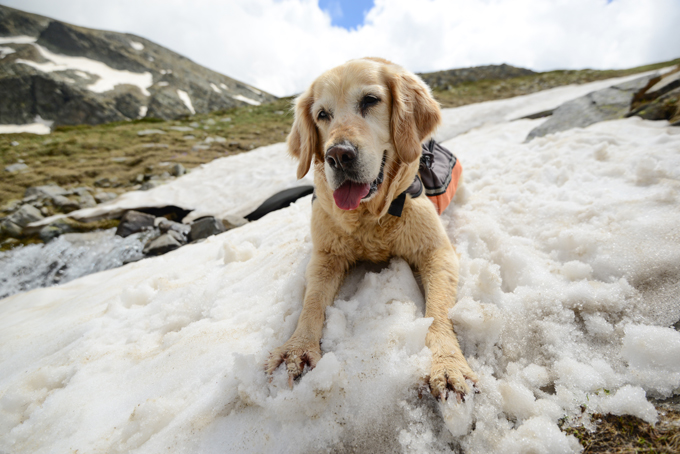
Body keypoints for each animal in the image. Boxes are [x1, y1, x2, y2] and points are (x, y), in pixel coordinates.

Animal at [266, 56, 478, 400]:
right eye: (322, 114)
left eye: (370, 100)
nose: (338, 155)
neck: (369, 217)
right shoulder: (326, 256)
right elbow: (311, 303)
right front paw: (296, 348)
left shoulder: (437, 252)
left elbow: (438, 311)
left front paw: (447, 364)